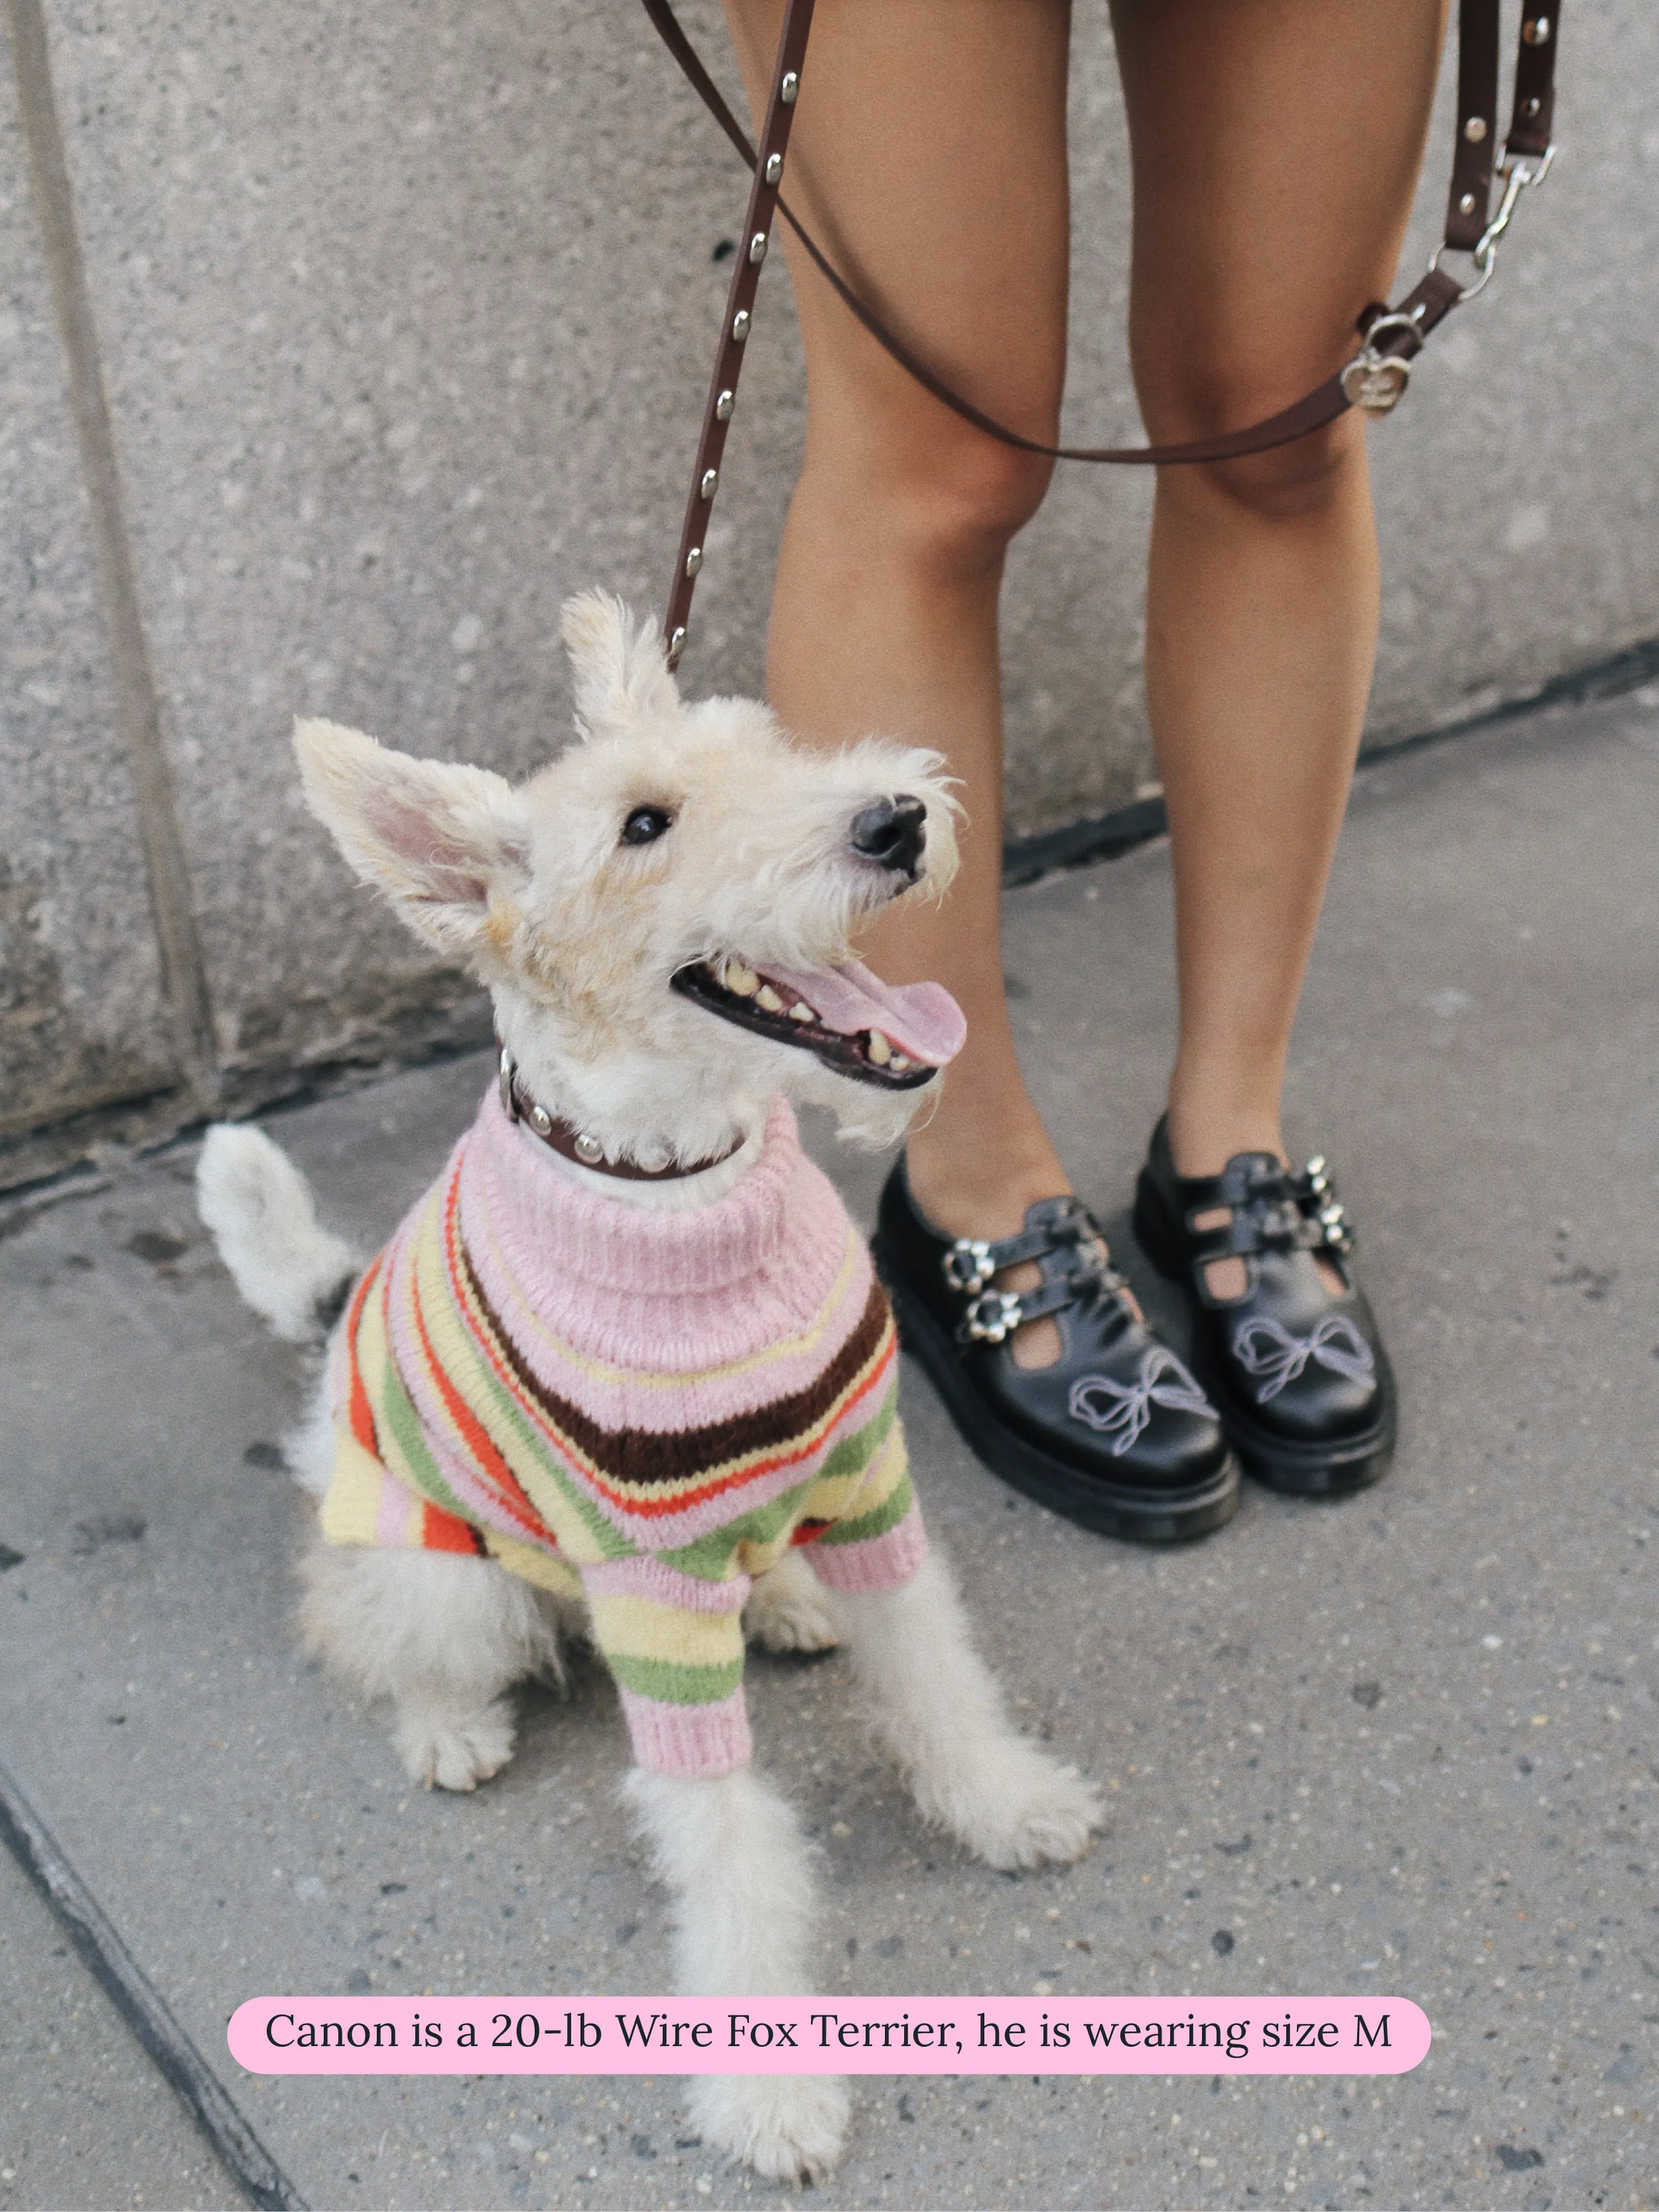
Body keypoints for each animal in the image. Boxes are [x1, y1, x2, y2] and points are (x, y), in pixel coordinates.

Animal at [198, 597, 1106, 2185]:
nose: (894, 817)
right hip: (443, 1566)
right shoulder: (650, 1597)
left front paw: (1000, 1799)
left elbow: (936, 1673)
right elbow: (726, 1842)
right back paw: (446, 1720)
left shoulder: (871, 1485)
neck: (681, 1186)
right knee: (367, 1622)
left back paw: (791, 1598)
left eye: (766, 743)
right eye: (642, 823)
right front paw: (768, 2087)